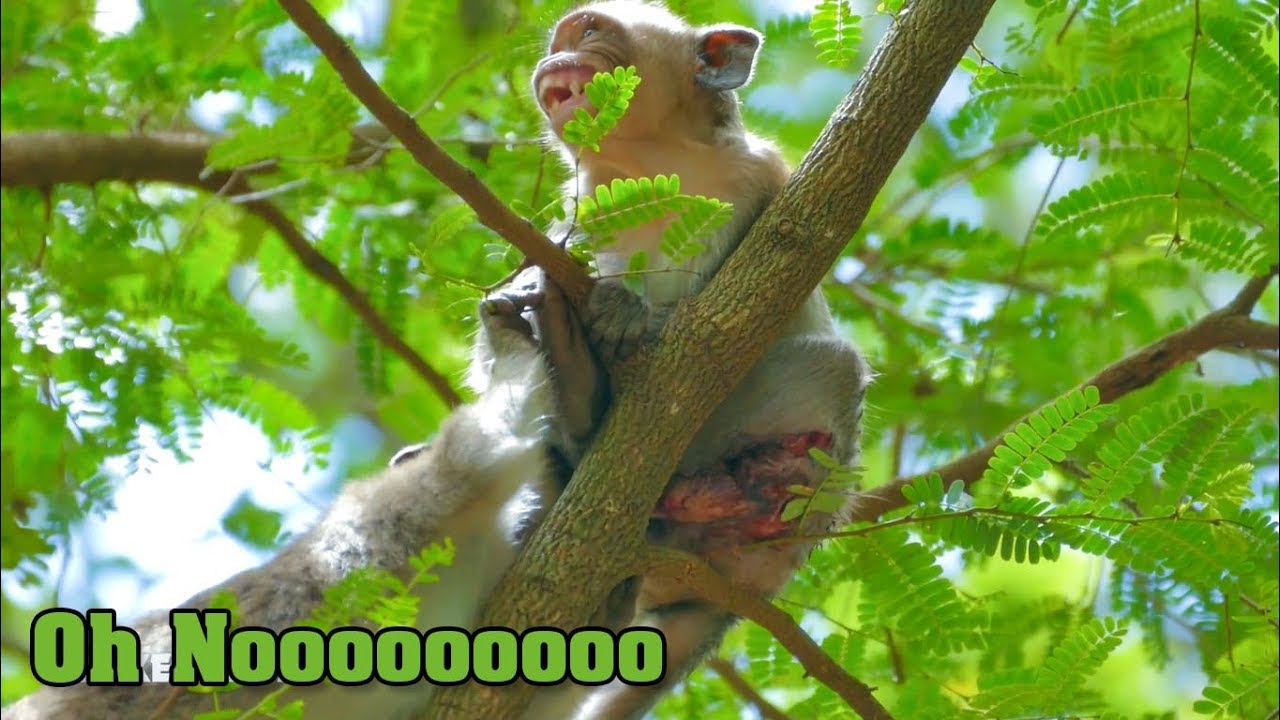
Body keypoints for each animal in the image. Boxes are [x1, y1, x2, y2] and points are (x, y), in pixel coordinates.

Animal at [527, 2, 871, 717]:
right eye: (560, 40)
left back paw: (748, 487)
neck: (653, 163)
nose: (553, 60)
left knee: (832, 366)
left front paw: (632, 316)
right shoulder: (583, 216)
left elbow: (752, 279)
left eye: (588, 32)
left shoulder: (762, 175)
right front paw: (600, 313)